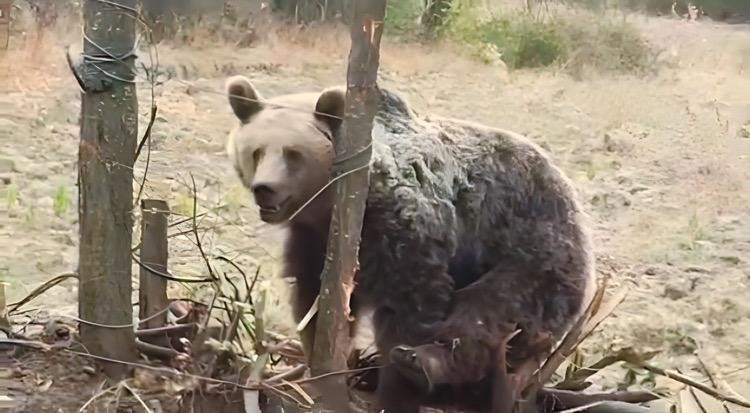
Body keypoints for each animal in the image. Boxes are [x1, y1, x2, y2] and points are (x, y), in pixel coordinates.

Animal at [225, 75, 600, 412]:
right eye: (256, 151)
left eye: (293, 154)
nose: (265, 189)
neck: (341, 203)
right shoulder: (317, 239)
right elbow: (314, 297)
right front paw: (327, 361)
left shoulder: (404, 226)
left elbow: (412, 303)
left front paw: (395, 387)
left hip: (537, 248)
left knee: (491, 309)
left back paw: (426, 362)